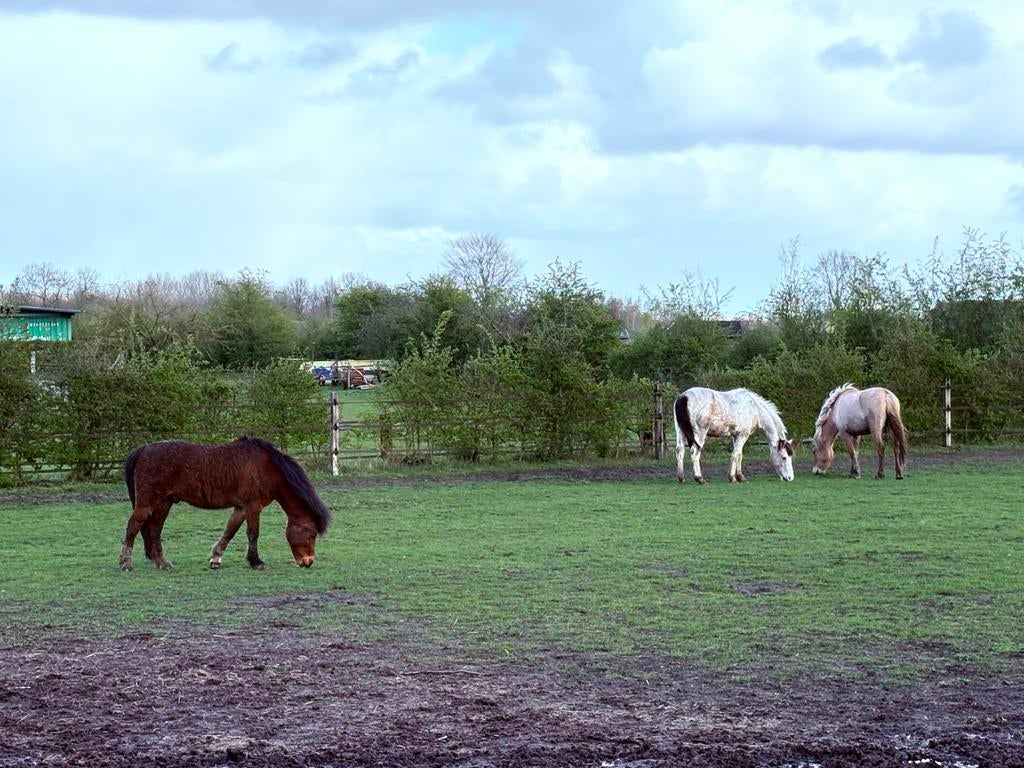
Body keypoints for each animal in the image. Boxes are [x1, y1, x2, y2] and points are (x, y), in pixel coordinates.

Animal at [120, 437, 332, 571]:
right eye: (311, 534)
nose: (308, 561)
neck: (267, 468)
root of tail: (143, 449)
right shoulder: (253, 506)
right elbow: (253, 534)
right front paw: (256, 561)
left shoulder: (241, 507)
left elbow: (230, 531)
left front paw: (216, 558)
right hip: (147, 503)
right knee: (133, 526)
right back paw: (126, 563)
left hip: (164, 503)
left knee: (154, 530)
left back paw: (162, 563)